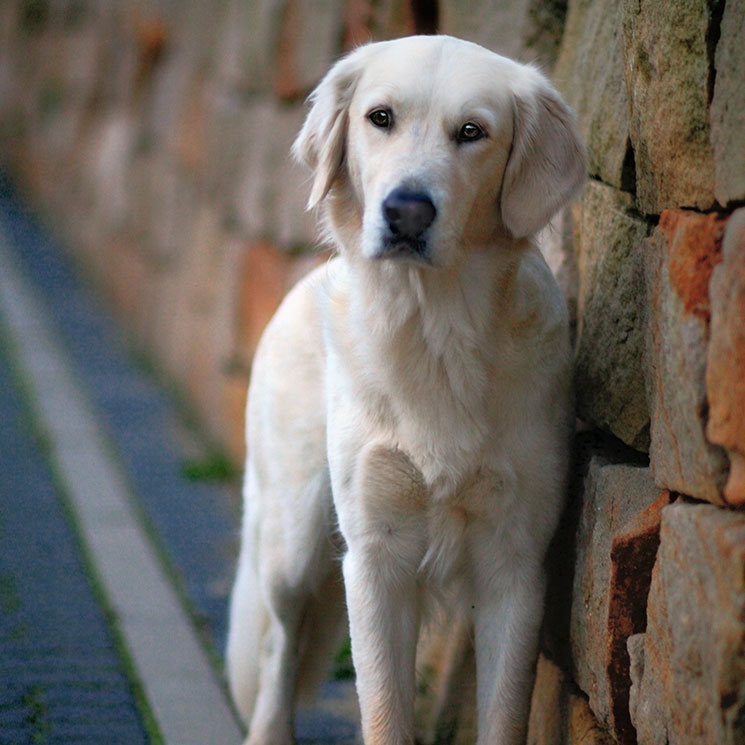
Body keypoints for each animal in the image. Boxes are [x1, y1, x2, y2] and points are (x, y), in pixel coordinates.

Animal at [227, 32, 588, 740]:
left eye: (472, 131)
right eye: (380, 118)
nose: (407, 211)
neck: (434, 332)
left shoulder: (514, 564)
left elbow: (502, 711)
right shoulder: (375, 555)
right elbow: (383, 710)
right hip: (291, 542)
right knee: (280, 647)